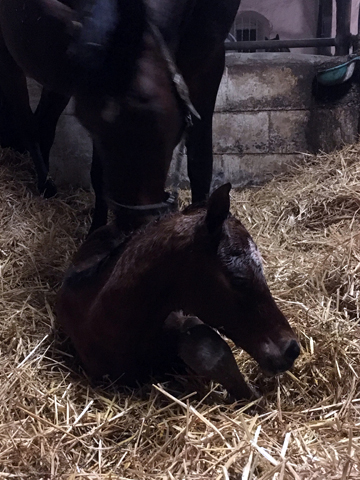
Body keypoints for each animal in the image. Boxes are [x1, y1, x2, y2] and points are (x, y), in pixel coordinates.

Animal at [0, 0, 242, 231]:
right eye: (91, 125)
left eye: (157, 123)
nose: (134, 222)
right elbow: (98, 174)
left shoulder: (209, 63)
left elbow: (200, 161)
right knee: (28, 122)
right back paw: (45, 185)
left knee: (45, 121)